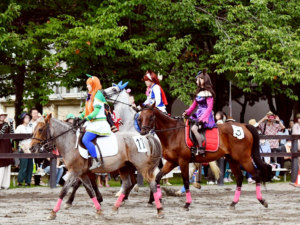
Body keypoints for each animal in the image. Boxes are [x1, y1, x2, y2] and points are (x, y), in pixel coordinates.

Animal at [30, 113, 164, 219]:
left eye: (40, 129)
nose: (31, 148)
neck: (70, 141)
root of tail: (144, 137)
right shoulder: (83, 174)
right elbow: (90, 191)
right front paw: (99, 211)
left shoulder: (74, 172)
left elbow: (64, 191)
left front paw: (53, 212)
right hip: (124, 167)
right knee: (127, 184)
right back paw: (115, 208)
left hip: (142, 167)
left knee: (152, 183)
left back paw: (159, 209)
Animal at [138, 104, 274, 210]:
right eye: (140, 118)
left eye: (151, 117)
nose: (143, 132)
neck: (173, 133)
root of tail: (244, 126)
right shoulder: (171, 162)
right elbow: (157, 178)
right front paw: (152, 200)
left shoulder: (183, 161)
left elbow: (186, 181)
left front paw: (187, 204)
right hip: (232, 159)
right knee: (240, 178)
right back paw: (233, 203)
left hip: (244, 159)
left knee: (256, 175)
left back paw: (262, 201)